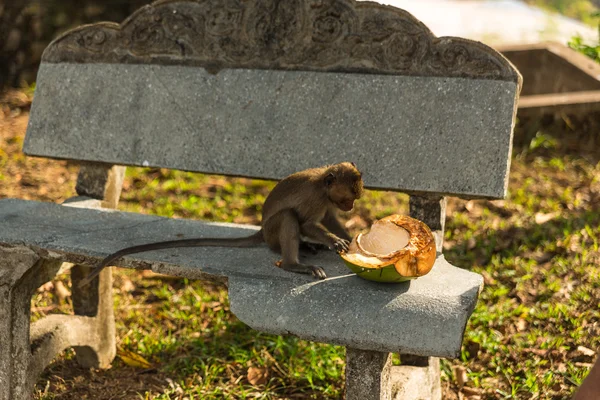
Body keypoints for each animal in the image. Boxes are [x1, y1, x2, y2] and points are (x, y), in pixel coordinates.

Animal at [77, 162, 364, 288]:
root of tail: (261, 231)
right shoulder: (315, 197)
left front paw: (349, 238)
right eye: (349, 198)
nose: (351, 207)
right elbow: (306, 222)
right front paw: (334, 241)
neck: (324, 186)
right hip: (272, 232)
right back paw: (295, 263)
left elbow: (328, 219)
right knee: (287, 218)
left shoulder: (327, 201)